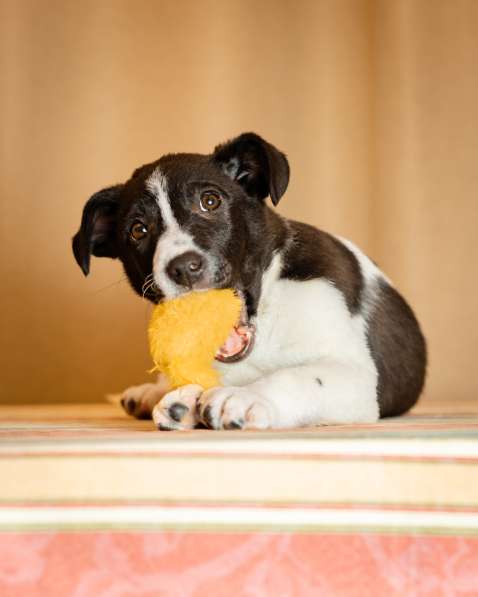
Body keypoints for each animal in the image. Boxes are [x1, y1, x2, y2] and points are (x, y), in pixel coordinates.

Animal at [74, 133, 426, 428]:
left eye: (210, 201)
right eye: (138, 230)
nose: (184, 267)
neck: (266, 315)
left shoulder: (355, 376)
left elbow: (297, 377)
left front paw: (246, 397)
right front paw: (184, 398)